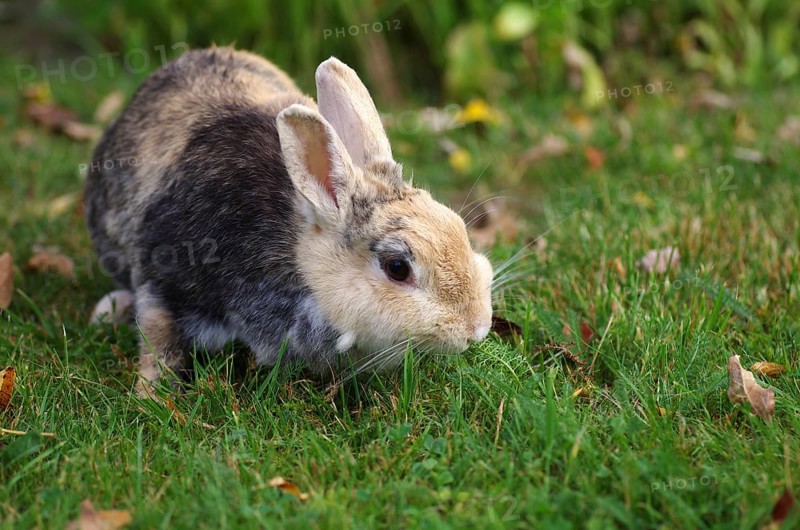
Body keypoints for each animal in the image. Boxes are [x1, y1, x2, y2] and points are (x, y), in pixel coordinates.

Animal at [84, 46, 493, 394]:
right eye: (397, 267)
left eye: (458, 225)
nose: (476, 328)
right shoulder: (163, 280)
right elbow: (158, 340)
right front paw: (150, 395)